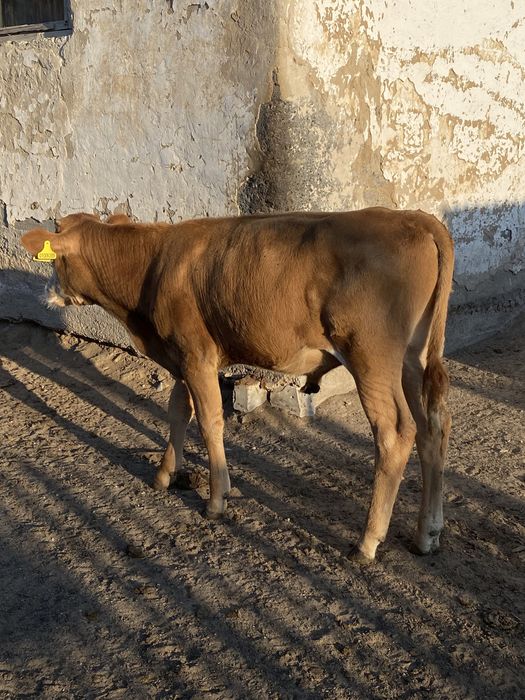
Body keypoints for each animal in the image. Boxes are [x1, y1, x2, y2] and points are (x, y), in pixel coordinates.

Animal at [21, 207, 454, 563]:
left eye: (55, 257)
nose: (47, 292)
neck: (151, 264)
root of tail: (414, 218)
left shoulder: (196, 354)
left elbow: (209, 421)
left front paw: (216, 499)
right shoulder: (181, 355)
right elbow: (177, 412)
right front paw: (165, 474)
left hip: (372, 357)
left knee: (395, 433)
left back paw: (367, 541)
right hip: (413, 357)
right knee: (433, 427)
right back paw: (427, 533)